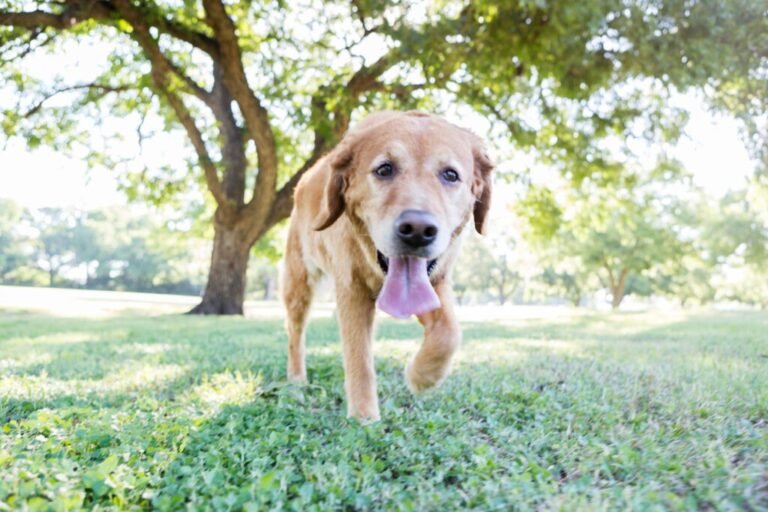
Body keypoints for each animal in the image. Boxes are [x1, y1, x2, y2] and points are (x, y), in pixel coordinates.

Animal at [282, 111, 492, 420]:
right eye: (384, 169)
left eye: (450, 175)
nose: (417, 230)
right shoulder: (352, 291)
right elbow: (359, 358)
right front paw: (364, 417)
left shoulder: (437, 283)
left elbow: (449, 333)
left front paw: (422, 375)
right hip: (298, 285)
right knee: (295, 334)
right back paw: (296, 380)